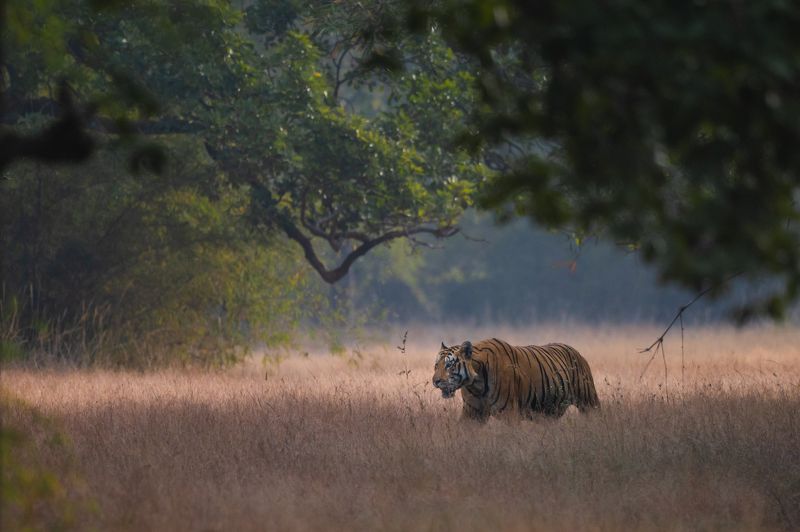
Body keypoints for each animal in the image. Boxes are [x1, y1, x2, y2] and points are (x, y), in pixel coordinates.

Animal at [432, 338, 599, 421]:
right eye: (436, 365)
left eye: (449, 365)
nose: (435, 381)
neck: (476, 384)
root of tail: (576, 351)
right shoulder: (472, 413)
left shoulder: (509, 413)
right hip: (548, 412)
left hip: (588, 401)